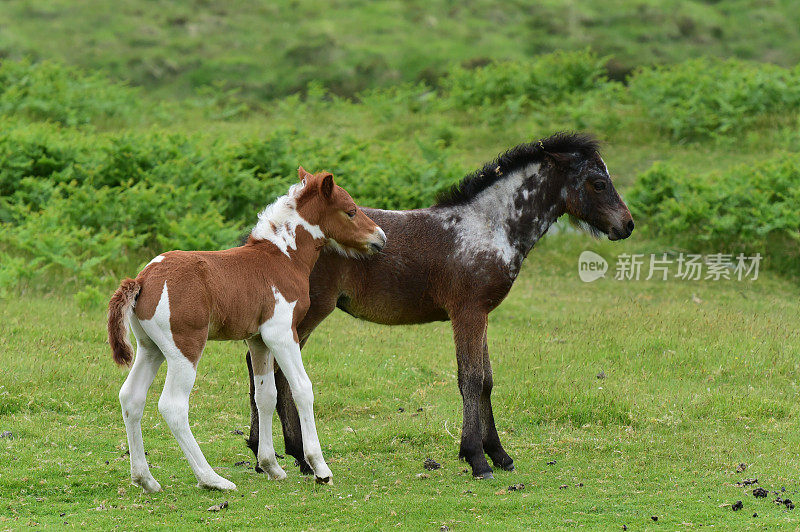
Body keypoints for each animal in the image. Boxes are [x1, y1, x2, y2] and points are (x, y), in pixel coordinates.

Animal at [107, 168, 388, 492]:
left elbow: (265, 395)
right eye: (351, 211)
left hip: (150, 348)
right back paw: (212, 479)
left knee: (131, 397)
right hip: (184, 349)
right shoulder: (282, 334)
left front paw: (271, 466)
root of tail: (142, 279)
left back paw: (146, 479)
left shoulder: (258, 341)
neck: (282, 258)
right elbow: (302, 389)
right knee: (173, 406)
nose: (381, 237)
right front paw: (320, 468)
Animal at [242, 132, 632, 478]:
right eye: (598, 183)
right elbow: (471, 379)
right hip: (306, 313)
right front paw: (477, 460)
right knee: (276, 370)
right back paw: (298, 457)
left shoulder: (481, 314)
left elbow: (487, 380)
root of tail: (263, 238)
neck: (489, 228)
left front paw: (499, 454)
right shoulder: (467, 312)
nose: (626, 225)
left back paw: (267, 451)